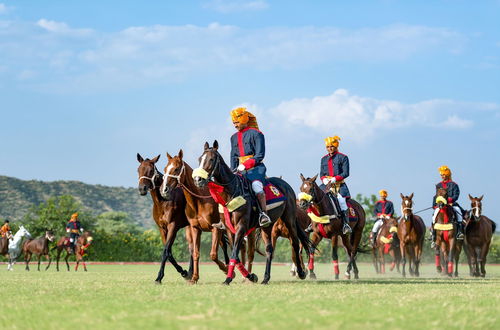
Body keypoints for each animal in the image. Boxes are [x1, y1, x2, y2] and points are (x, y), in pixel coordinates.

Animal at [137, 153, 195, 284]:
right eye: (138, 169)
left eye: (151, 170)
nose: (142, 188)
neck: (163, 201)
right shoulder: (162, 228)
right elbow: (169, 252)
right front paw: (183, 272)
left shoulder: (173, 226)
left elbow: (165, 251)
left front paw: (159, 277)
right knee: (192, 247)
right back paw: (190, 272)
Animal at [158, 149, 232, 284]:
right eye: (165, 168)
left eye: (176, 169)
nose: (164, 190)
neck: (199, 201)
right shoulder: (195, 228)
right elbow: (196, 253)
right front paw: (194, 278)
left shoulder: (215, 229)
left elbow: (213, 254)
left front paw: (226, 269)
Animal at [192, 141, 312, 284]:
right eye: (199, 159)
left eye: (211, 159)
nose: (198, 180)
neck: (232, 191)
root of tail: (286, 185)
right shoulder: (229, 228)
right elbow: (236, 254)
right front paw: (250, 276)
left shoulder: (241, 226)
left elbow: (235, 253)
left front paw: (228, 278)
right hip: (267, 227)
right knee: (269, 249)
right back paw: (266, 277)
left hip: (289, 220)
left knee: (295, 243)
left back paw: (301, 272)